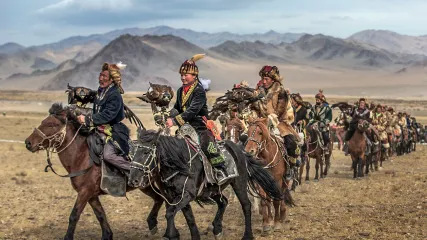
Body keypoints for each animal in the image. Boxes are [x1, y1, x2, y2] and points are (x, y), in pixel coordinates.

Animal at [24, 103, 164, 240]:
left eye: (52, 124)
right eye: (43, 122)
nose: (28, 143)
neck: (82, 156)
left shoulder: (85, 192)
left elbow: (74, 216)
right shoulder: (92, 196)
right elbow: (100, 215)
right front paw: (107, 235)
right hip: (145, 185)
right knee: (159, 199)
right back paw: (152, 224)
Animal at [129, 129, 286, 240]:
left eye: (146, 152)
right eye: (133, 152)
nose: (133, 180)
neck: (179, 164)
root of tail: (240, 150)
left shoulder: (186, 195)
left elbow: (170, 214)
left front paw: (170, 235)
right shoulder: (178, 197)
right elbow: (188, 218)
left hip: (239, 183)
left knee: (246, 205)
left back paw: (247, 235)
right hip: (213, 189)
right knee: (223, 202)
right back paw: (217, 229)